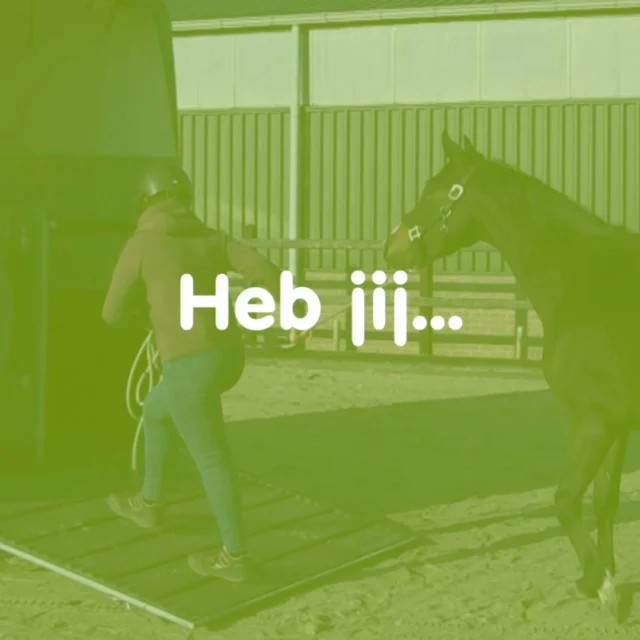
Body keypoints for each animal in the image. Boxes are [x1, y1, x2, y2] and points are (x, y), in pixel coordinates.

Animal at [383, 131, 640, 618]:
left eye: (433, 190)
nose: (391, 249)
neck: (584, 281)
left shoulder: (594, 418)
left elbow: (565, 500)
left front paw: (599, 583)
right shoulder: (616, 423)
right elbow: (603, 500)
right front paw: (602, 581)